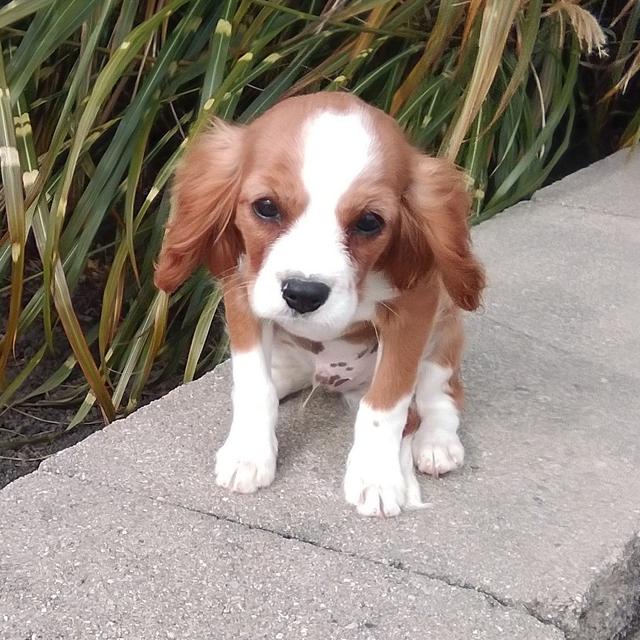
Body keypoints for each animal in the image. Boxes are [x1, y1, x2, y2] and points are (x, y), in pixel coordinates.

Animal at [155, 92, 484, 516]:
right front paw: (249, 453)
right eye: (266, 206)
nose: (302, 294)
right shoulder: (243, 291)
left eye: (369, 222)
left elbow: (386, 403)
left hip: (443, 335)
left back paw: (436, 443)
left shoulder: (415, 309)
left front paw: (377, 477)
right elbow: (253, 384)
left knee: (441, 394)